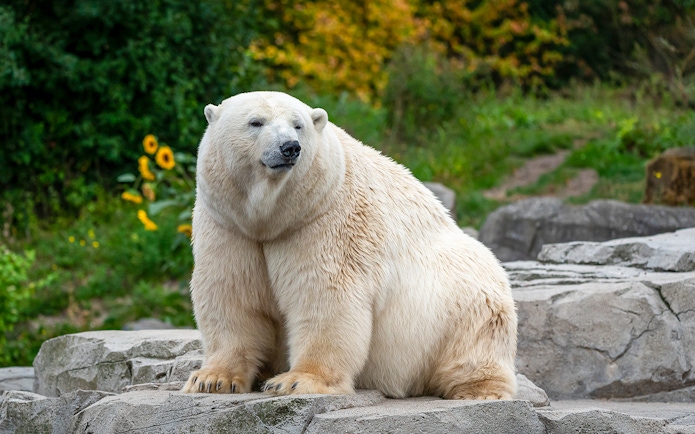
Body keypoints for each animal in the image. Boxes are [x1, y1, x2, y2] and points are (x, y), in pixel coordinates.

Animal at [182, 91, 518, 400]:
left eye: (298, 125)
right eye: (256, 122)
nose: (290, 147)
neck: (274, 218)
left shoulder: (324, 221)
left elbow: (325, 296)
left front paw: (295, 381)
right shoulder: (228, 225)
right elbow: (231, 294)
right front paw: (212, 379)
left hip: (461, 299)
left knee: (475, 340)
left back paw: (478, 391)